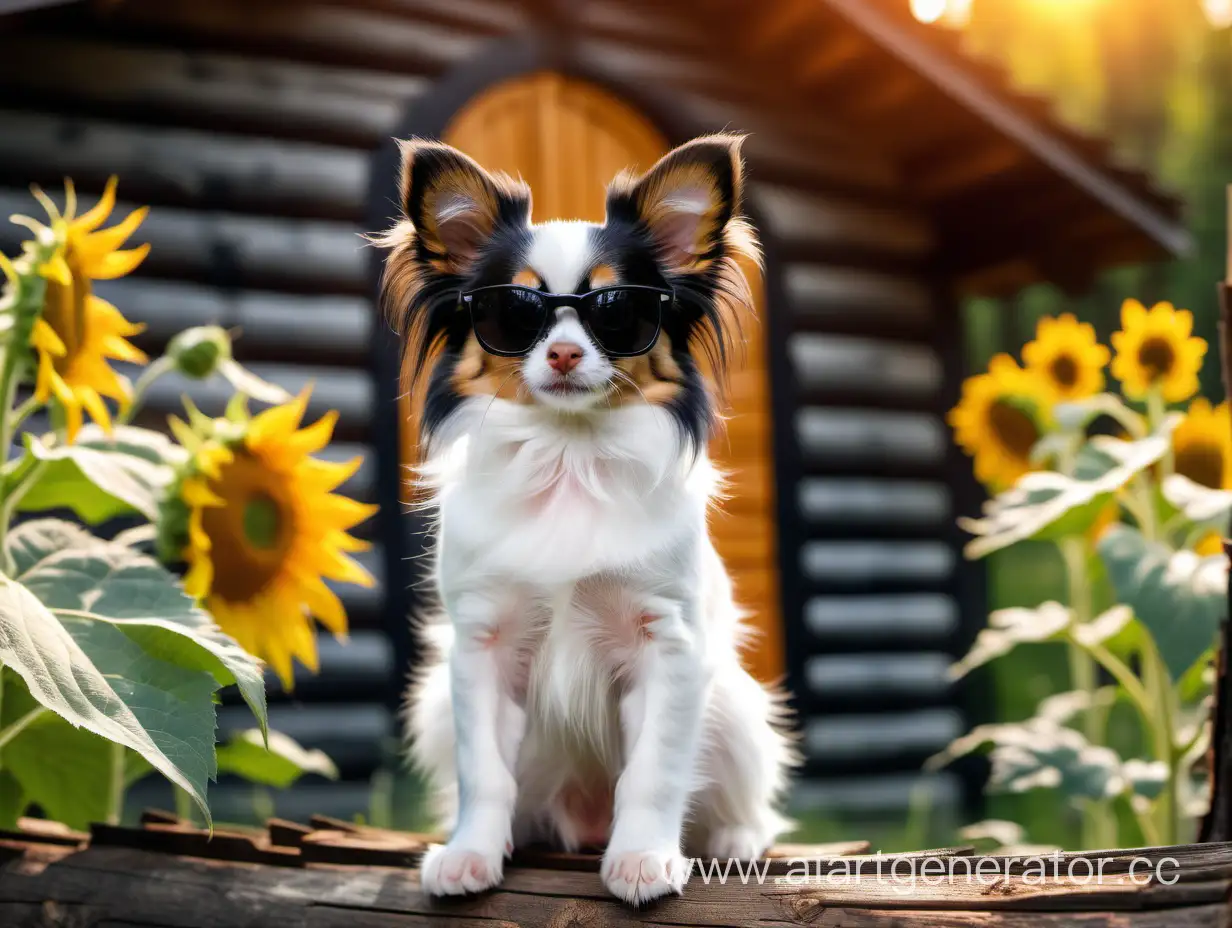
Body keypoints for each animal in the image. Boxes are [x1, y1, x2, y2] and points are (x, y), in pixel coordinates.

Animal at [376, 133, 798, 902]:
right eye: (513, 312)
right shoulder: (481, 648)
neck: (569, 456)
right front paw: (470, 853)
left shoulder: (668, 645)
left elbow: (654, 773)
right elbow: (484, 772)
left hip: (734, 705)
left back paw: (736, 838)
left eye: (617, 309)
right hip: (435, 703)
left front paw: (643, 858)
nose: (565, 351)